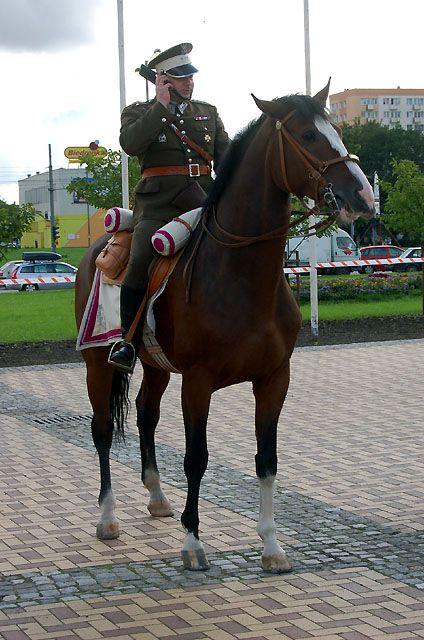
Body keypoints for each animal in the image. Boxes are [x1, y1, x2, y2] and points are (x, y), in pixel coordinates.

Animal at [76, 82, 374, 572]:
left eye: (338, 131)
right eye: (309, 135)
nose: (363, 195)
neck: (242, 275)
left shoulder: (274, 379)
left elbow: (267, 459)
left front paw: (271, 545)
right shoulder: (197, 383)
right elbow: (196, 458)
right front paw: (193, 543)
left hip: (156, 367)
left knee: (145, 414)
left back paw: (157, 496)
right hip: (98, 362)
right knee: (102, 430)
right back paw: (107, 517)